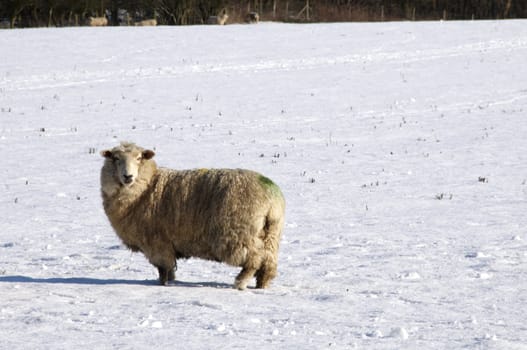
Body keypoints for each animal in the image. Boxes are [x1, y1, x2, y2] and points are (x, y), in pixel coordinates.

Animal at [100, 142, 286, 290]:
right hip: (271, 234)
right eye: (115, 158)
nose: (128, 176)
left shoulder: (158, 243)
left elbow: (163, 268)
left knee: (254, 258)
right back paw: (261, 285)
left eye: (139, 158)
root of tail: (272, 200)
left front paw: (163, 284)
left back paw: (240, 282)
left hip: (238, 235)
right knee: (268, 261)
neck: (146, 188)